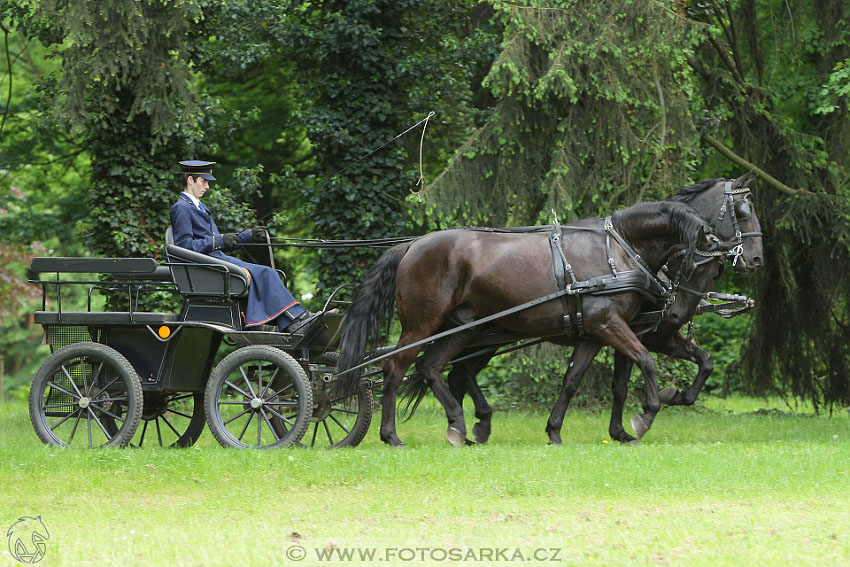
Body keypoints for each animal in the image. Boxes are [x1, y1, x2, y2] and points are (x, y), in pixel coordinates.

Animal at [338, 202, 724, 446]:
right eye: (699, 264)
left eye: (716, 269)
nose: (676, 315)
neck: (618, 251)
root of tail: (411, 245)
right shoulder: (610, 324)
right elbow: (646, 361)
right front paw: (646, 416)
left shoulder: (595, 333)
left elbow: (573, 381)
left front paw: (555, 431)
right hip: (422, 326)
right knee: (395, 370)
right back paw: (392, 435)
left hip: (465, 329)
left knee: (433, 368)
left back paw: (460, 426)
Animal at [444, 175, 760, 446]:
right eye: (743, 210)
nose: (757, 259)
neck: (633, 254)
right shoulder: (635, 332)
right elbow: (628, 377)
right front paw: (644, 414)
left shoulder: (650, 335)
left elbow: (702, 362)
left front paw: (655, 408)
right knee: (458, 371)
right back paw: (471, 425)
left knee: (456, 373)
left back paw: (465, 429)